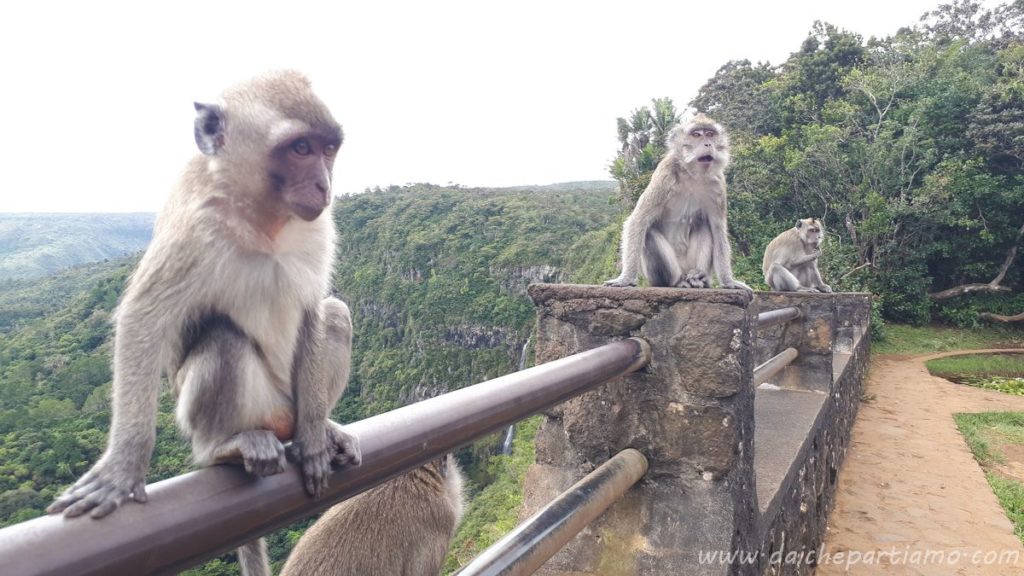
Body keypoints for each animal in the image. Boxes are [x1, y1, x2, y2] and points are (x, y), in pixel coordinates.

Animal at [48, 69, 362, 569]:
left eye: (328, 149)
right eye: (300, 149)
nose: (324, 186)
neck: (264, 220)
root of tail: (276, 421)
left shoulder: (319, 227)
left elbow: (314, 309)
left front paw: (315, 438)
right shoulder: (193, 231)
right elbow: (144, 317)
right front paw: (124, 466)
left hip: (288, 400)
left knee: (335, 315)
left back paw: (318, 428)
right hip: (238, 410)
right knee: (221, 338)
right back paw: (224, 448)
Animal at [602, 113, 749, 289]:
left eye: (710, 134)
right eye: (696, 135)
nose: (708, 144)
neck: (693, 175)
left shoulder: (718, 185)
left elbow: (718, 228)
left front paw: (729, 281)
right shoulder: (664, 176)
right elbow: (638, 220)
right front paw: (625, 279)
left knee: (704, 225)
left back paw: (699, 277)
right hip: (662, 274)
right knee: (649, 233)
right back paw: (677, 282)